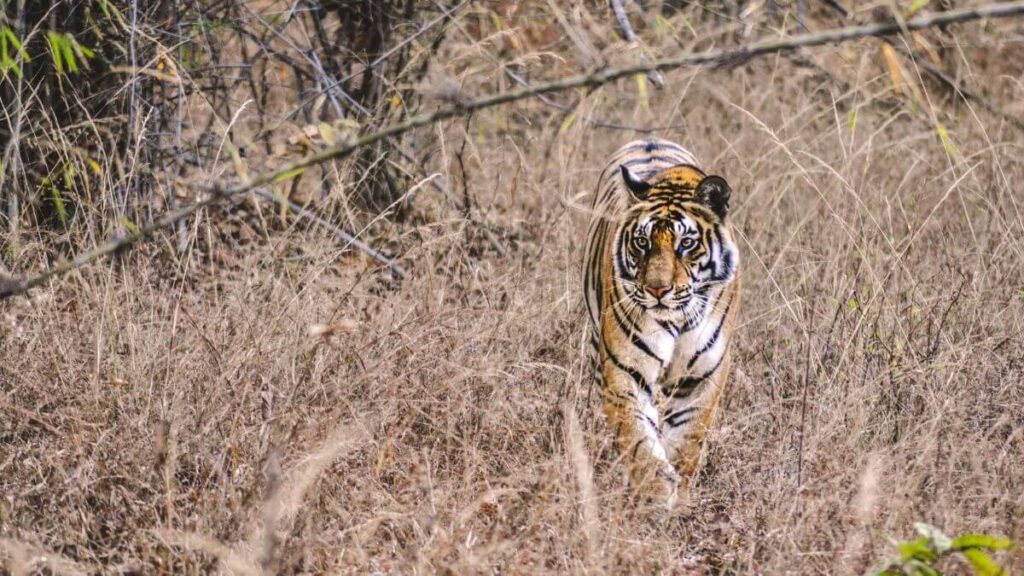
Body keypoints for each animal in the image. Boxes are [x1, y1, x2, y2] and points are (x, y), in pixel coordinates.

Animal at [581, 138, 741, 506]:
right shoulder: (624, 371)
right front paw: (655, 492)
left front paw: (678, 496)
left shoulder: (702, 377)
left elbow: (687, 441)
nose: (657, 289)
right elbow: (638, 440)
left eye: (687, 243)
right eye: (642, 242)